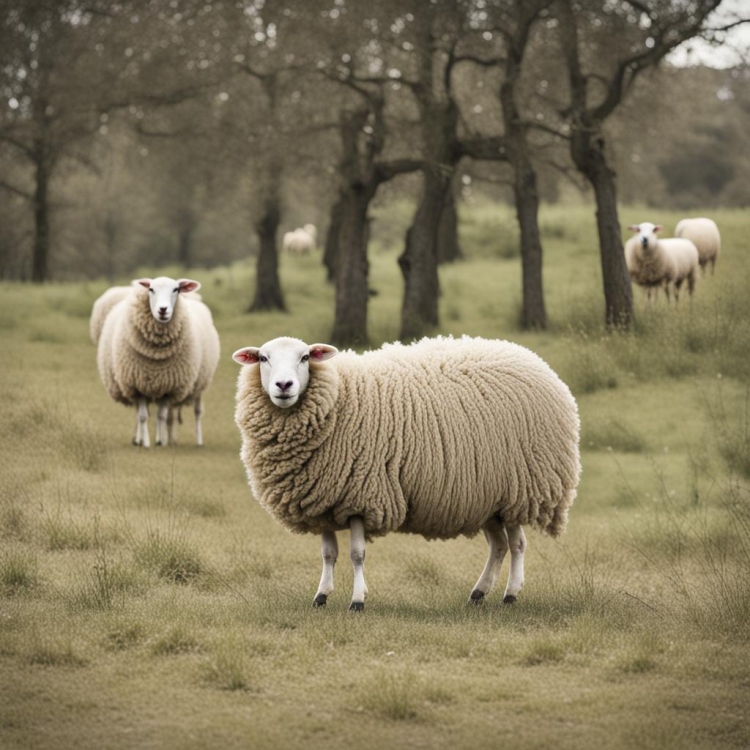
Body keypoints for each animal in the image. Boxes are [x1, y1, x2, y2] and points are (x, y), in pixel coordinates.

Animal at [94, 276, 220, 448]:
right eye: (151, 289)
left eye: (176, 289)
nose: (163, 310)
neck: (156, 357)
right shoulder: (137, 385)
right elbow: (142, 416)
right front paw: (146, 442)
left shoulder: (169, 387)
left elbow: (161, 416)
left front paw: (160, 441)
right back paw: (143, 438)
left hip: (200, 384)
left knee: (197, 412)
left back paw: (195, 440)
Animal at [233, 335, 581, 611]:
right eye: (263, 358)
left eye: (305, 357)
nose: (284, 386)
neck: (339, 396)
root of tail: (534, 359)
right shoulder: (323, 499)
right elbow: (328, 554)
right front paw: (321, 596)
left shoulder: (363, 495)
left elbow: (357, 554)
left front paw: (357, 600)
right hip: (488, 497)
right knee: (499, 546)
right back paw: (479, 593)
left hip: (523, 489)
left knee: (518, 544)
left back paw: (510, 595)